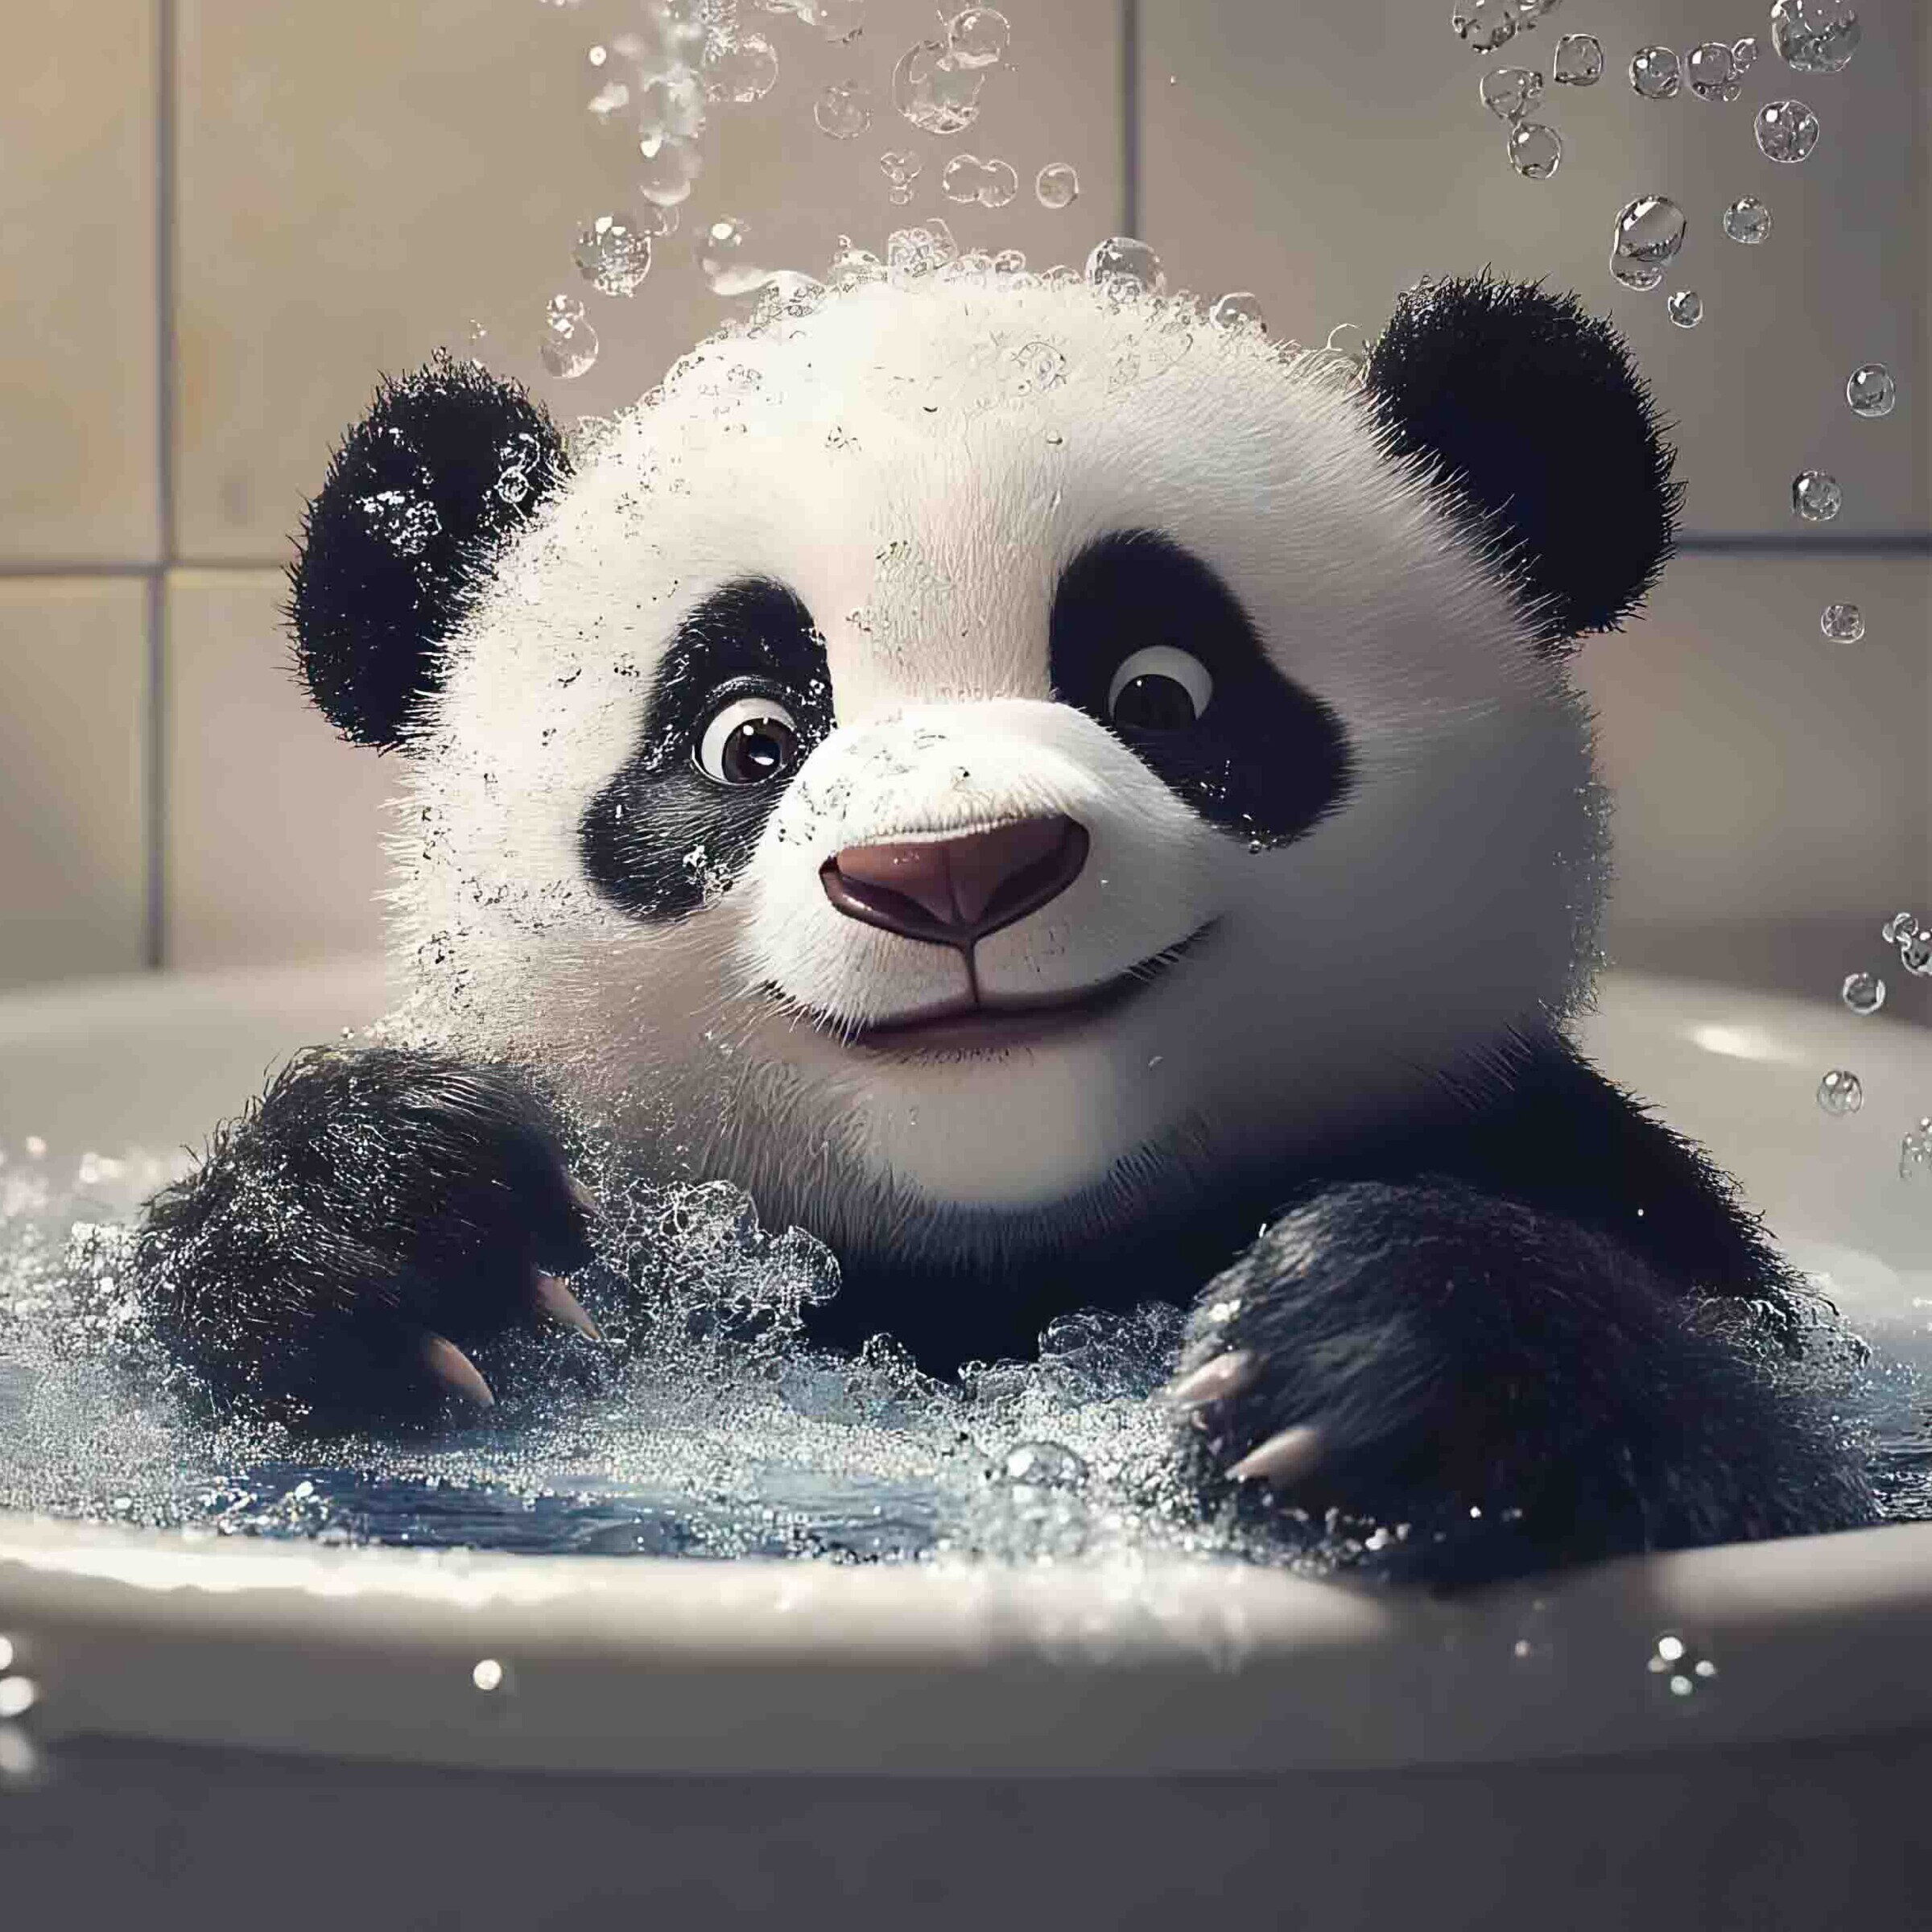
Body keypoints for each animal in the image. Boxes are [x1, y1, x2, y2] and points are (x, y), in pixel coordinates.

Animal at [133, 264, 1877, 1586]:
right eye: (749, 737)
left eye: (1164, 690)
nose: (953, 873)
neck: (1003, 1255)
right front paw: (383, 1221)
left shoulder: (1582, 1162)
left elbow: (1789, 1461)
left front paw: (1391, 1357)